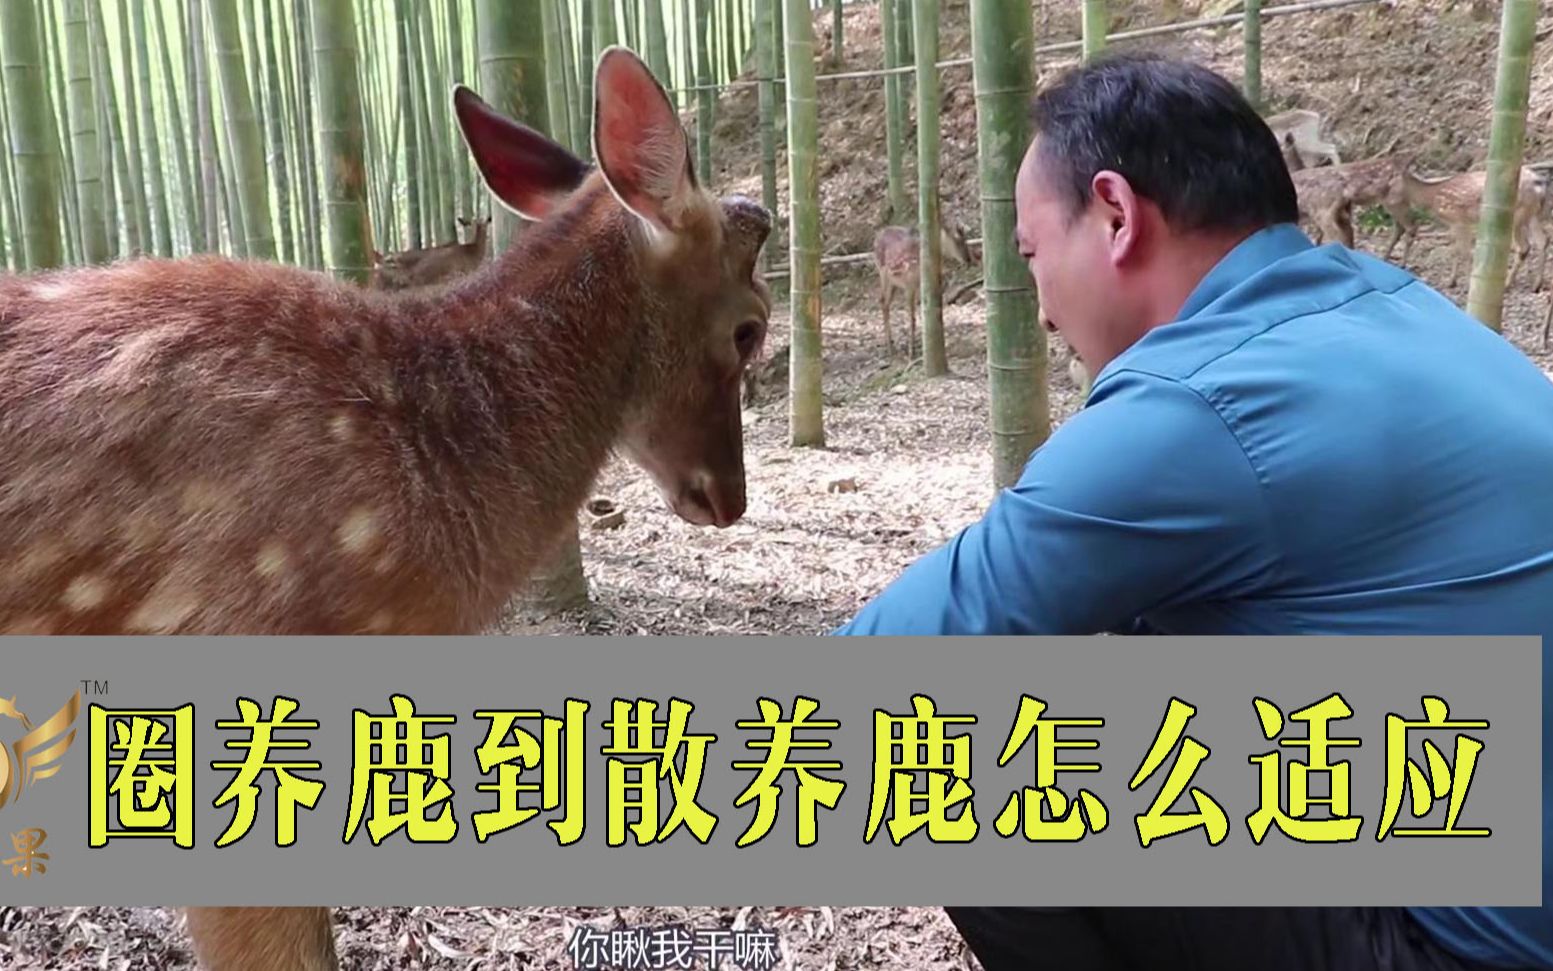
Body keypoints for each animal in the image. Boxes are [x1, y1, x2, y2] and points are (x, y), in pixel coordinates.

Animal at [872, 215, 978, 359]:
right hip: (883, 275)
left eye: (966, 239)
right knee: (883, 301)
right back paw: (890, 348)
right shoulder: (909, 285)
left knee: (885, 302)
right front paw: (912, 353)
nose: (968, 259)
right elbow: (912, 318)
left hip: (894, 283)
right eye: (957, 239)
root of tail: (877, 236)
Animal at [1396, 164, 1551, 291]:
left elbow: (1464, 252)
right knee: (1543, 240)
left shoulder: (1459, 221)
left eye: (1392, 175)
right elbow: (1455, 250)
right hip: (1533, 214)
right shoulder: (1455, 225)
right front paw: (1451, 282)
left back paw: (1507, 283)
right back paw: (1537, 284)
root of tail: (1539, 185)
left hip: (1516, 215)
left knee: (1524, 246)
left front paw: (1465, 285)